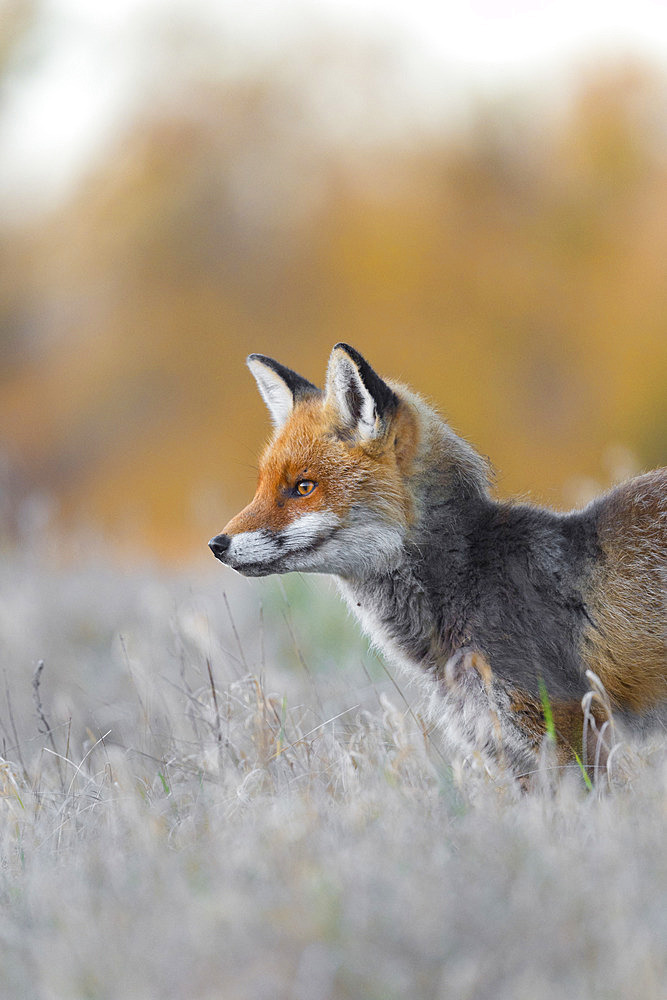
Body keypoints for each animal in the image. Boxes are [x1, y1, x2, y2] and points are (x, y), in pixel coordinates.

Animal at [210, 348, 667, 776]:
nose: (217, 544)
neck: (469, 576)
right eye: (261, 487)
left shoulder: (570, 724)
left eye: (303, 487)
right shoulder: (503, 747)